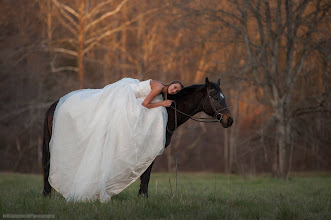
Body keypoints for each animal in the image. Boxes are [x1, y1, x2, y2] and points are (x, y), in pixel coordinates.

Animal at [41, 77, 233, 198]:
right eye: (214, 96)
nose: (229, 120)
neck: (167, 111)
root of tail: (56, 104)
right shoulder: (150, 149)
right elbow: (146, 174)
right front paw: (143, 197)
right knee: (49, 166)